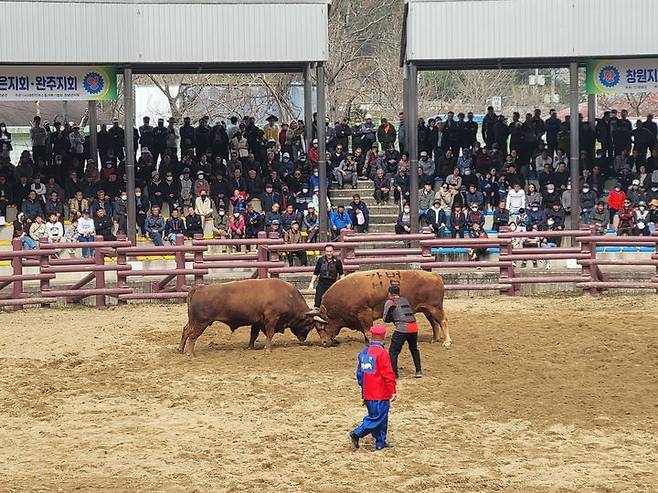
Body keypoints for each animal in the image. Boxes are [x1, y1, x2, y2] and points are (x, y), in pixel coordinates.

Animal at [178, 278, 314, 356]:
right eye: (309, 326)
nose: (303, 339)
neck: (289, 296)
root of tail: (200, 287)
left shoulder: (257, 322)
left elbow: (253, 335)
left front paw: (250, 347)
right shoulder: (271, 319)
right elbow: (270, 334)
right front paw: (267, 349)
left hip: (193, 322)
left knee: (186, 331)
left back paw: (180, 349)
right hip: (201, 323)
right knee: (192, 336)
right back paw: (191, 354)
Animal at [310, 270, 448, 346]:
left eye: (321, 326)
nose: (324, 343)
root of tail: (435, 275)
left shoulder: (364, 313)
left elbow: (367, 331)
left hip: (435, 308)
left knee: (443, 321)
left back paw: (446, 342)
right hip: (427, 309)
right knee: (434, 323)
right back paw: (435, 339)